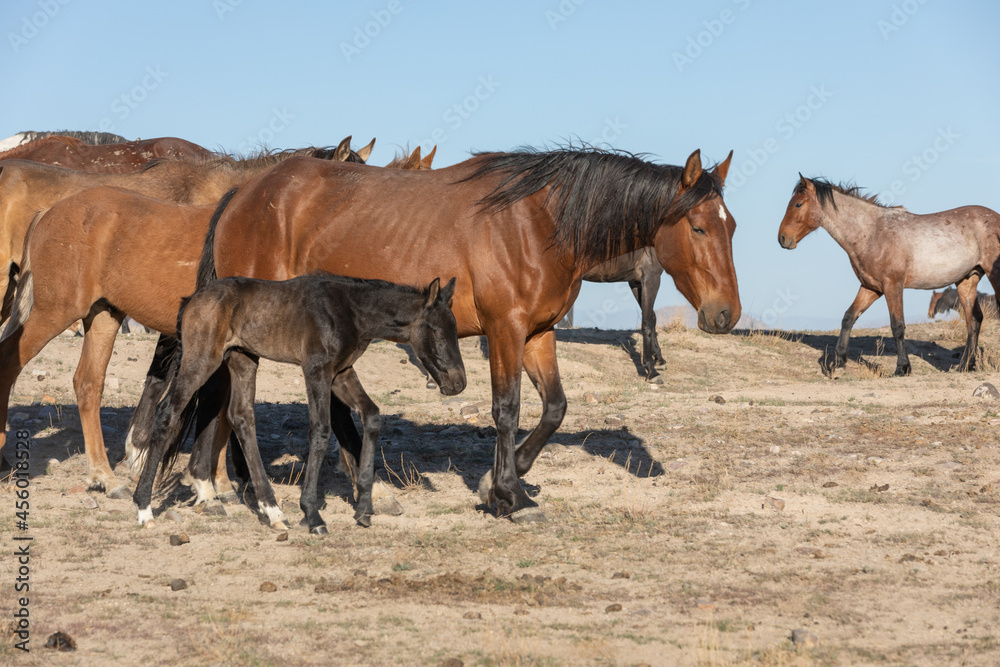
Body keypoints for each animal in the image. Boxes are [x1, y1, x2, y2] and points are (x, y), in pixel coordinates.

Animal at [133, 276, 468, 532]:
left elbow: (372, 415)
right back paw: (144, 508)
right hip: (202, 359)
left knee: (240, 416)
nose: (458, 384)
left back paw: (273, 511)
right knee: (168, 413)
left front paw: (364, 507)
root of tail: (191, 299)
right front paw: (312, 513)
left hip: (243, 359)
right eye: (439, 333)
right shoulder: (317, 370)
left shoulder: (341, 373)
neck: (351, 311)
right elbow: (320, 431)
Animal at [172, 146, 740, 520]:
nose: (726, 315)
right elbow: (507, 409)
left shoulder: (538, 333)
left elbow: (554, 407)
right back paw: (252, 492)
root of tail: (243, 193)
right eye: (698, 228)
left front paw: (512, 476)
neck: (536, 222)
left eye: (731, 227)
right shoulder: (505, 331)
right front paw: (509, 494)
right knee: (234, 403)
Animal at [780, 176, 1000, 376]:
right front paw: (837, 362)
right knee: (974, 320)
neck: (872, 233)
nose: (782, 238)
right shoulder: (871, 287)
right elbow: (848, 317)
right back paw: (965, 366)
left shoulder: (893, 286)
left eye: (798, 204)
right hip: (966, 282)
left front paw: (902, 368)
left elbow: (897, 326)